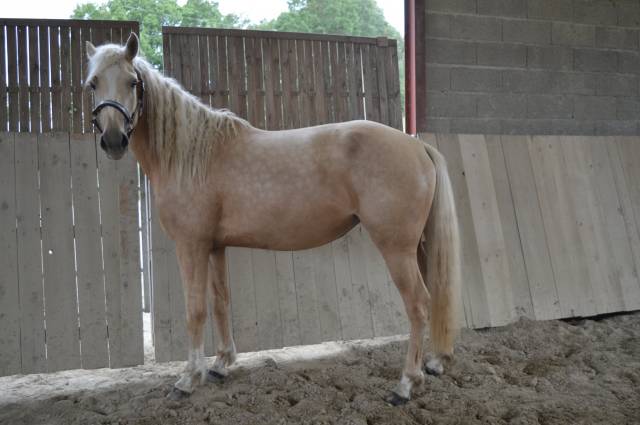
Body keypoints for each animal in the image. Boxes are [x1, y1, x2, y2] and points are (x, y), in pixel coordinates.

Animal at [85, 33, 461, 405]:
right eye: (93, 83)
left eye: (133, 82)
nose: (114, 140)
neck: (192, 155)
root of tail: (416, 146)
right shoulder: (215, 246)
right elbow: (221, 302)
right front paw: (221, 365)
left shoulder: (191, 246)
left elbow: (195, 311)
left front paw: (188, 379)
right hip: (418, 248)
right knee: (433, 298)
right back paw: (432, 364)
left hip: (396, 248)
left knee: (418, 304)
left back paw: (405, 384)